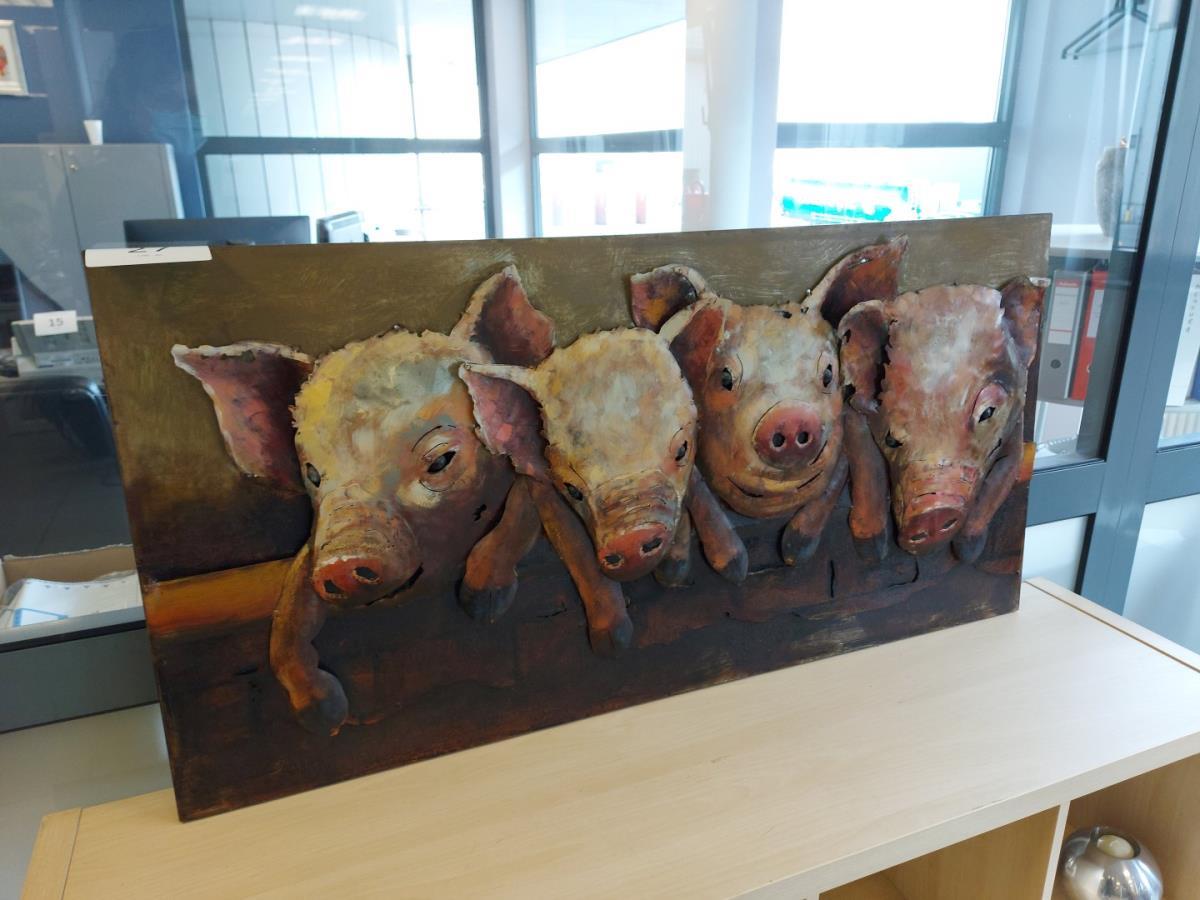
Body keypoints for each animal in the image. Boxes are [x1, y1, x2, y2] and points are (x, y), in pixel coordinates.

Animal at [172, 266, 554, 734]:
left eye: (441, 460)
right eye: (312, 473)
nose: (343, 559)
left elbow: (523, 507)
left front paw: (482, 605)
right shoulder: (311, 552)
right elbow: (288, 613)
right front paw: (324, 718)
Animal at [460, 326, 747, 654]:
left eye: (681, 450)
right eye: (573, 489)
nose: (632, 539)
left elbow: (693, 483)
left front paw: (731, 569)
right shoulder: (548, 487)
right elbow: (577, 549)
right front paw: (612, 644)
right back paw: (480, 601)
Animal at [838, 278, 1043, 561]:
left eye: (987, 412)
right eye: (891, 439)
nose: (933, 512)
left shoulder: (1016, 425)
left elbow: (1003, 477)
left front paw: (968, 553)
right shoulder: (853, 413)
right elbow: (866, 467)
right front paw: (871, 554)